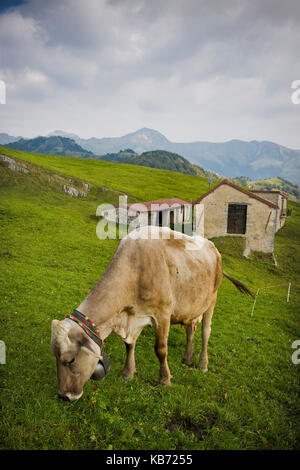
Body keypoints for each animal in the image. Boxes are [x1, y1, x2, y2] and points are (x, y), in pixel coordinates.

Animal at [50, 227, 252, 400]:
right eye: (55, 357)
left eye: (70, 360)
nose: (64, 396)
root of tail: (213, 248)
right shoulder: (135, 315)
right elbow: (129, 345)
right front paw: (128, 373)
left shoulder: (163, 314)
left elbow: (160, 350)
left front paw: (165, 380)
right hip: (190, 306)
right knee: (190, 330)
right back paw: (187, 358)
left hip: (211, 301)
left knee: (205, 333)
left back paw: (202, 365)